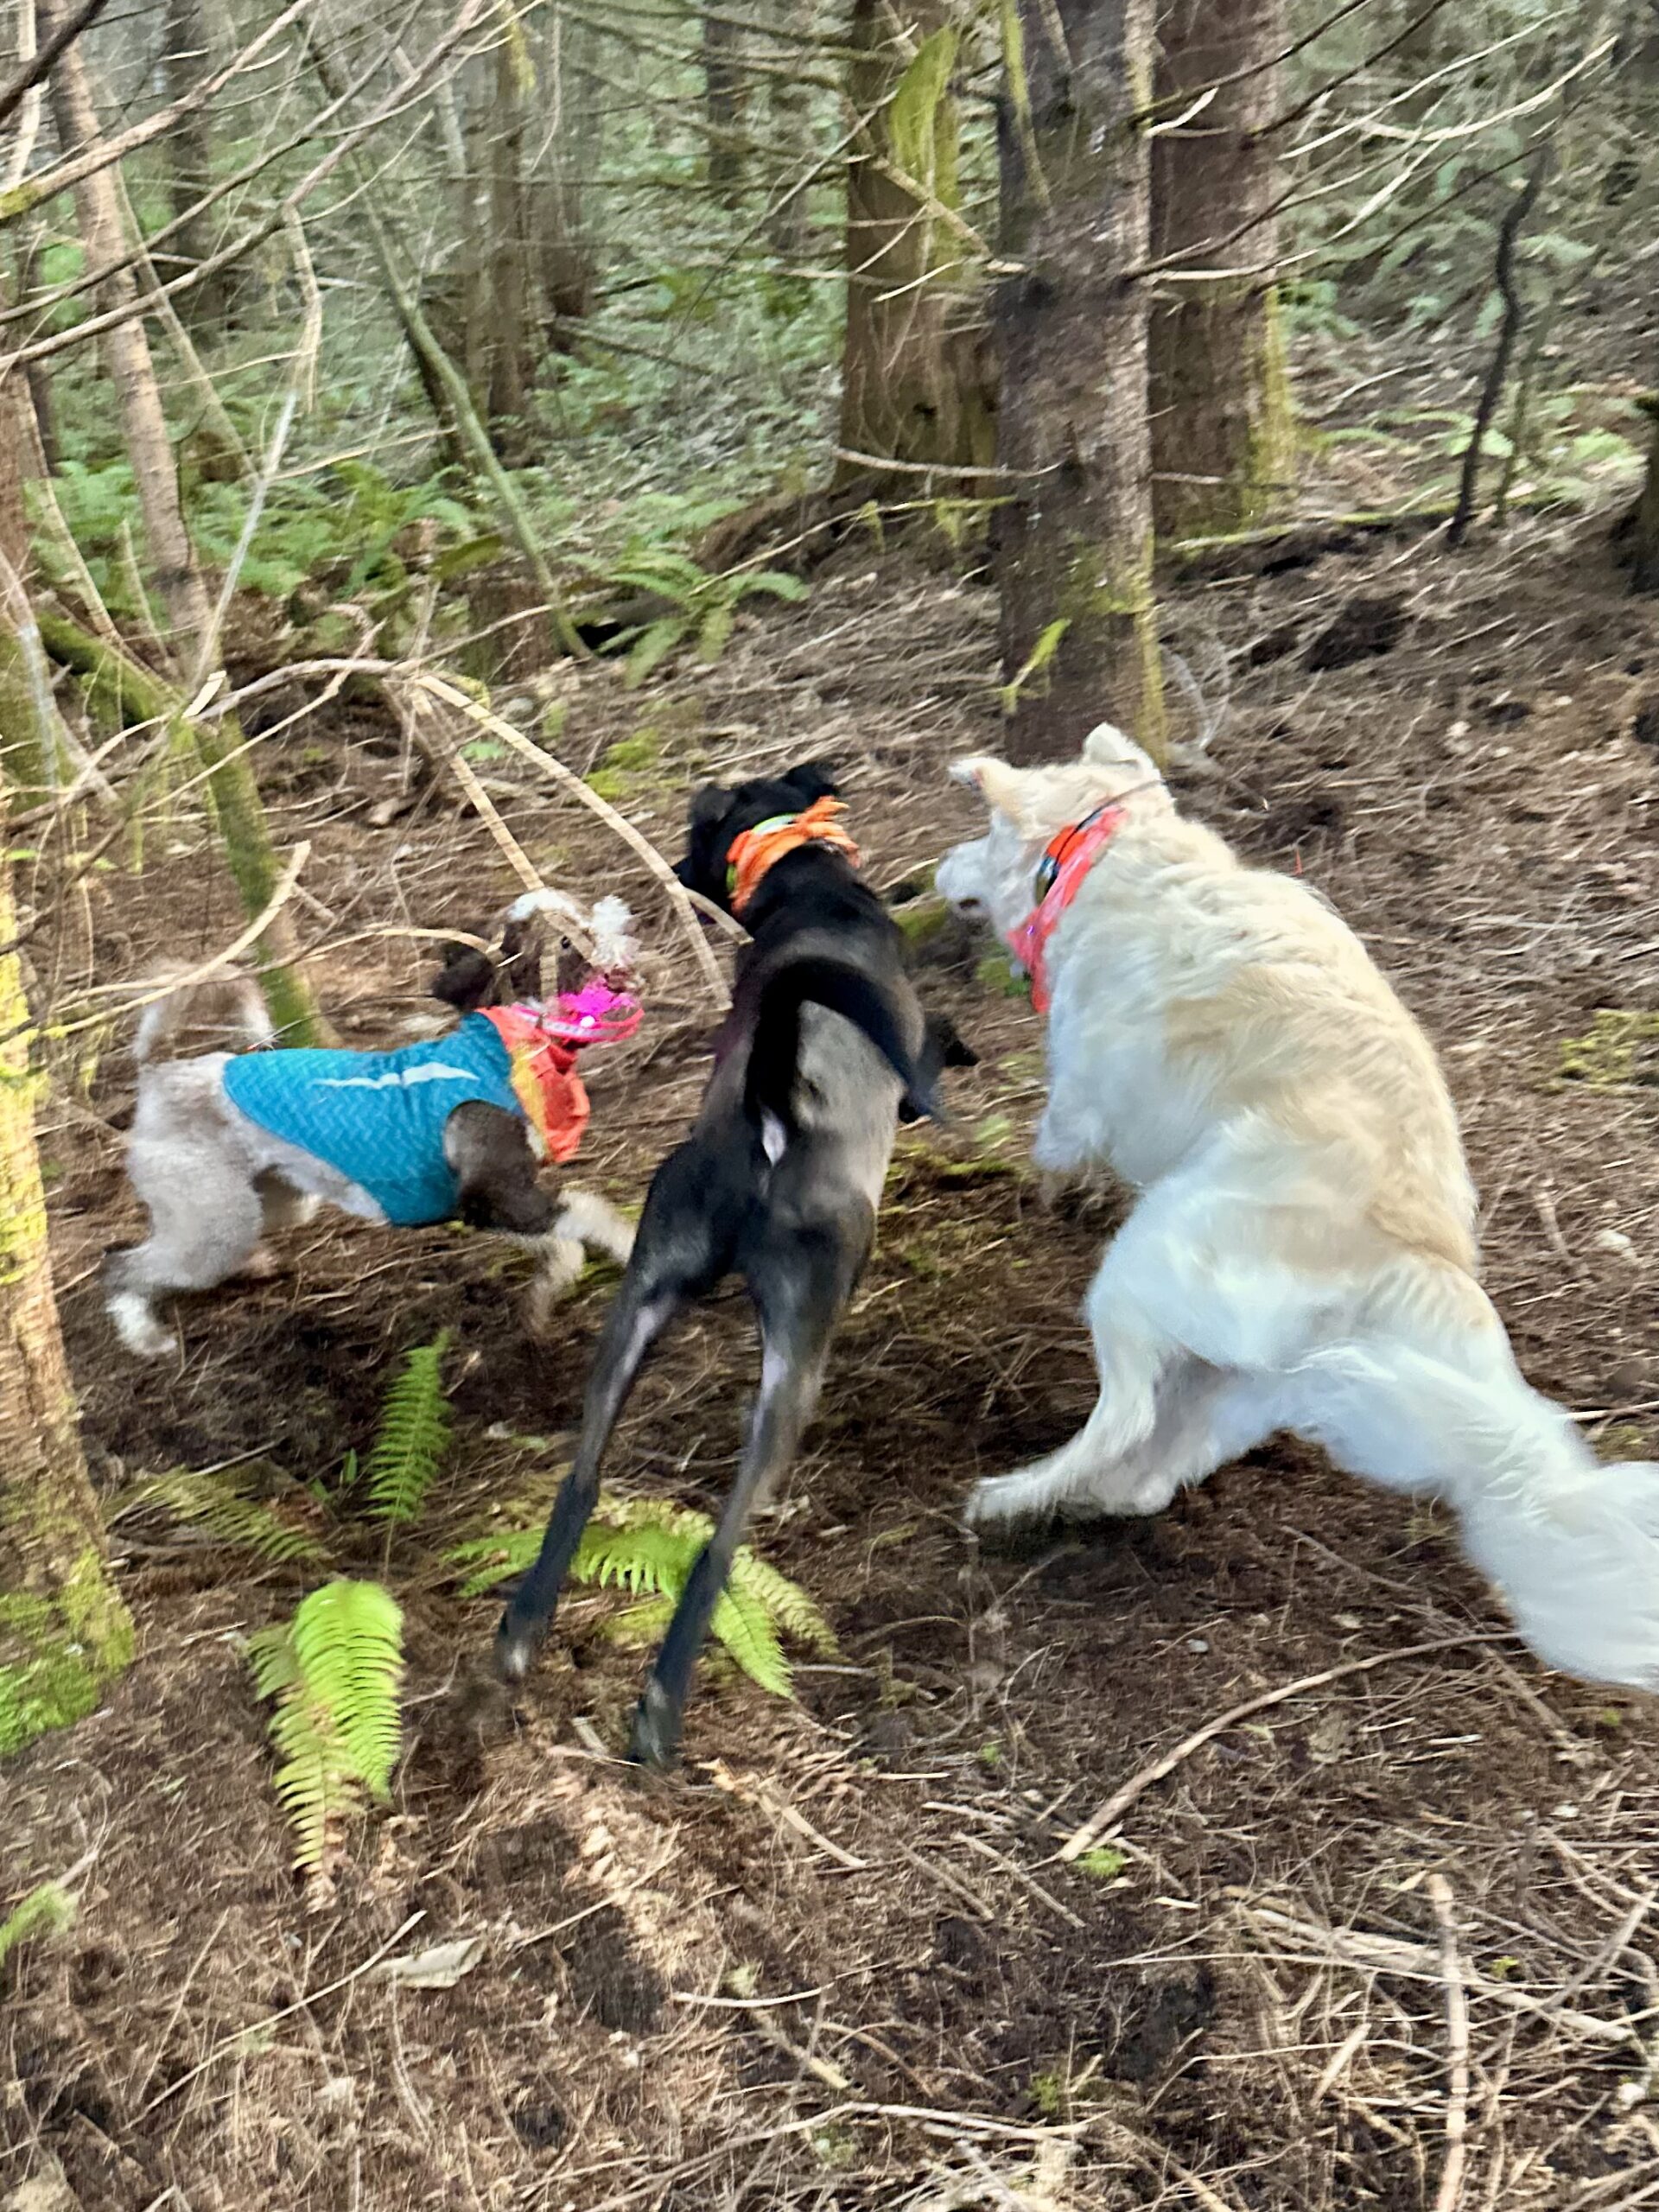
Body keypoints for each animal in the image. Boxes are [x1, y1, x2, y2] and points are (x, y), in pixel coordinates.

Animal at [104, 889, 637, 1353]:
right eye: (568, 939)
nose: (621, 939)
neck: (505, 1049)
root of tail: (159, 1074)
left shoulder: (489, 1206)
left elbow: (575, 1226)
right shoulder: (492, 1194)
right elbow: (581, 1220)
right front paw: (596, 1269)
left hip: (271, 1202)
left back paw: (250, 1267)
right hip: (215, 1220)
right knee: (123, 1266)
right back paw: (144, 1336)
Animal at [493, 760, 973, 1760]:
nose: (673, 872)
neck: (814, 893)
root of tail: (767, 1114)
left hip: (641, 1295)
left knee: (583, 1474)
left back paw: (523, 1629)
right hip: (799, 1353)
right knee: (718, 1544)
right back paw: (662, 1706)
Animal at [942, 725, 1659, 1689]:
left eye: (979, 832)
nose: (935, 872)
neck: (1110, 850)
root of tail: (1415, 1263)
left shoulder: (1082, 1091)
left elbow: (1055, 1132)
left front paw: (1050, 1176)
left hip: (1140, 1266)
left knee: (1125, 1420)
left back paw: (1012, 1496)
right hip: (1250, 1377)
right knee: (1148, 1473)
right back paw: (1079, 1496)